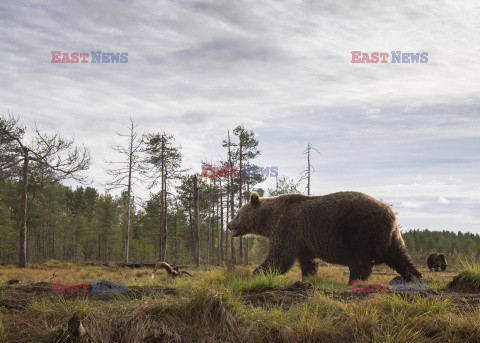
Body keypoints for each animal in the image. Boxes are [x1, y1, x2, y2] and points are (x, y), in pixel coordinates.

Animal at [227, 191, 422, 284]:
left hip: (361, 231)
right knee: (400, 256)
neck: (270, 219)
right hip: (392, 237)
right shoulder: (303, 240)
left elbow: (280, 256)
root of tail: (391, 214)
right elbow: (307, 262)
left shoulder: (288, 226)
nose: (228, 224)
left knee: (360, 261)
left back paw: (353, 281)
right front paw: (308, 278)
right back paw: (415, 276)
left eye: (237, 213)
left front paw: (255, 273)